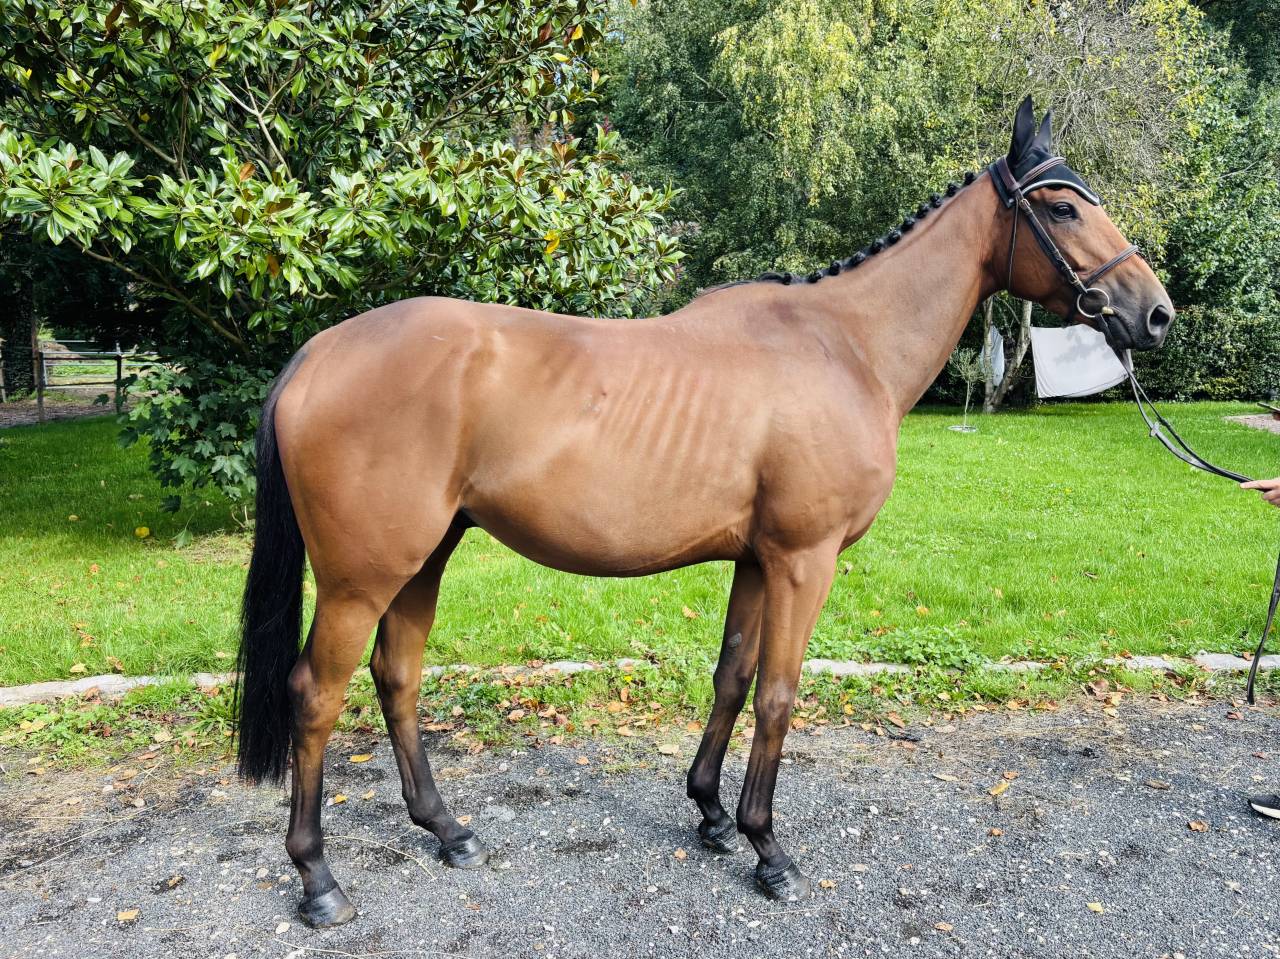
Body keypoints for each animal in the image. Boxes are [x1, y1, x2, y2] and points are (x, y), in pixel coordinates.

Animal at [234, 96, 1173, 927]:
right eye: (1062, 204)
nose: (1155, 313)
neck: (846, 346)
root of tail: (319, 352)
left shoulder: (757, 559)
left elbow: (731, 675)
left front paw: (713, 815)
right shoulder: (803, 559)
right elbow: (779, 694)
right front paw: (769, 850)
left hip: (422, 559)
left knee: (397, 675)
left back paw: (446, 829)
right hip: (361, 577)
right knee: (316, 694)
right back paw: (318, 879)